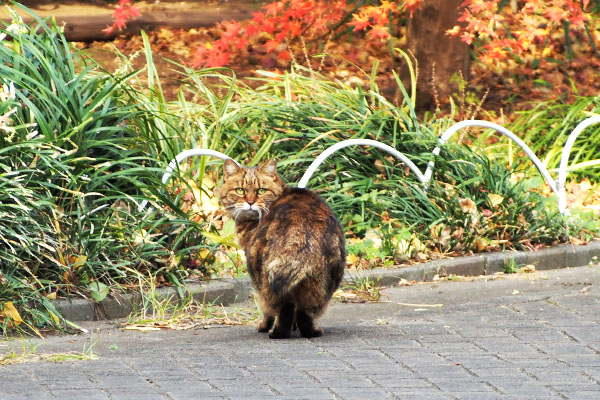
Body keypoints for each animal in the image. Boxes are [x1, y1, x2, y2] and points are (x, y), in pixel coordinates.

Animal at [218, 159, 344, 338]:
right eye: (240, 190)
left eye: (261, 190)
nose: (250, 202)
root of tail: (300, 233)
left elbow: (268, 313)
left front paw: (264, 326)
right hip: (323, 283)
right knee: (305, 312)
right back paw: (311, 331)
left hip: (263, 278)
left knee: (283, 308)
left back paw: (276, 333)